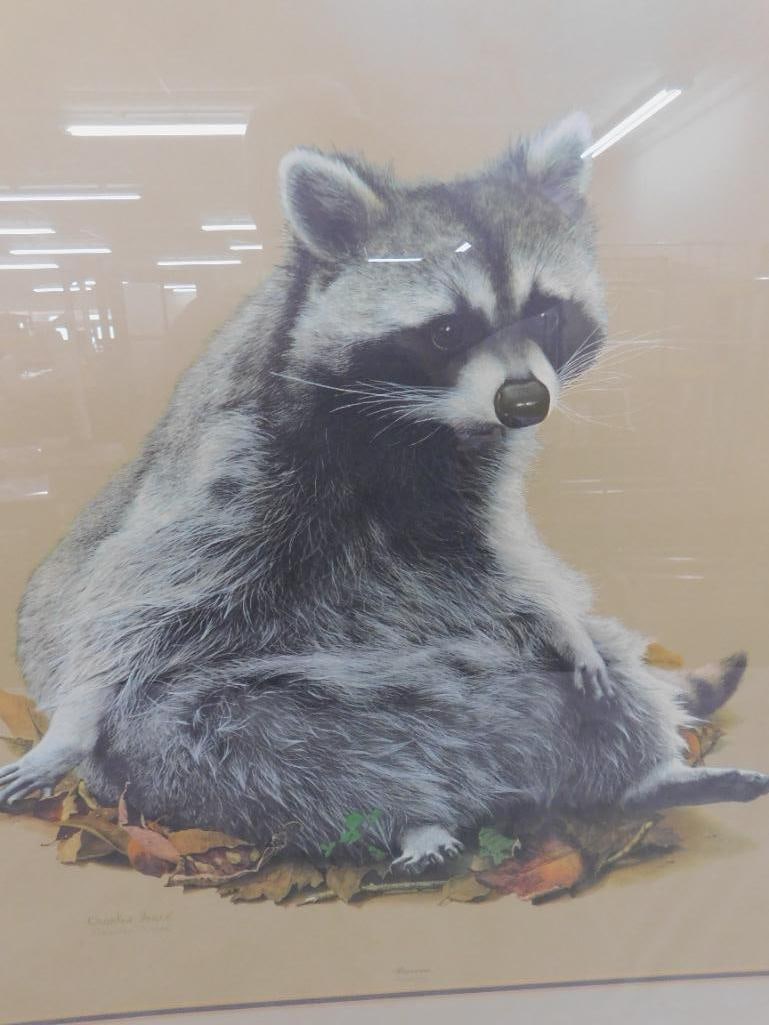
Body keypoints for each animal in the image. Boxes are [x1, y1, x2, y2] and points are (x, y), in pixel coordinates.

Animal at [2, 114, 767, 870]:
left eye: (547, 313)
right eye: (448, 329)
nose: (524, 402)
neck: (412, 426)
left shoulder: (472, 480)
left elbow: (500, 559)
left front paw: (561, 618)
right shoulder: (235, 456)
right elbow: (142, 596)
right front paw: (74, 717)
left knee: (598, 679)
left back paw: (643, 776)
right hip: (202, 735)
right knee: (258, 744)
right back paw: (413, 819)